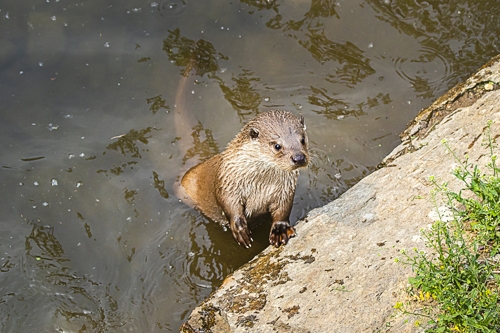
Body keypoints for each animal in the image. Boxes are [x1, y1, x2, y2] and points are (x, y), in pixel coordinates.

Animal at [176, 110, 308, 248]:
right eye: (277, 146)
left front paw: (280, 229)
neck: (261, 186)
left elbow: (283, 209)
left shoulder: (285, 190)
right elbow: (229, 203)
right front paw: (239, 228)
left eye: (303, 140)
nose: (299, 157)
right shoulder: (227, 183)